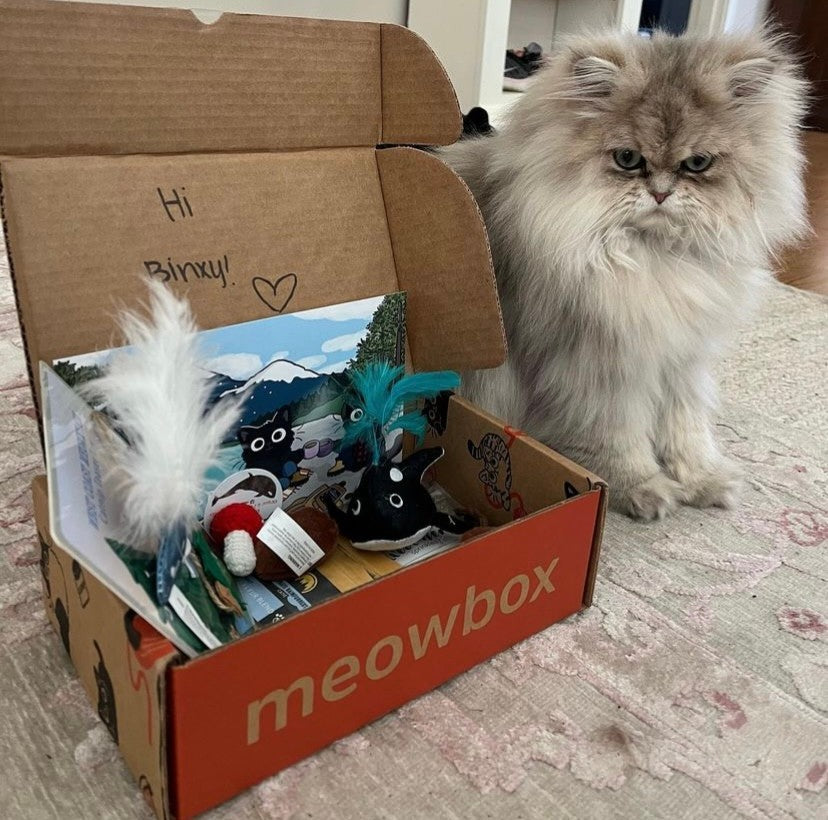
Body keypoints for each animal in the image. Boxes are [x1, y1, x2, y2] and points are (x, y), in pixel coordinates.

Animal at [444, 32, 804, 524]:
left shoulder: (680, 357)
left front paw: (704, 480)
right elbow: (619, 434)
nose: (661, 193)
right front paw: (643, 489)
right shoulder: (601, 367)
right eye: (629, 159)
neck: (651, 257)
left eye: (698, 163)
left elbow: (687, 426)